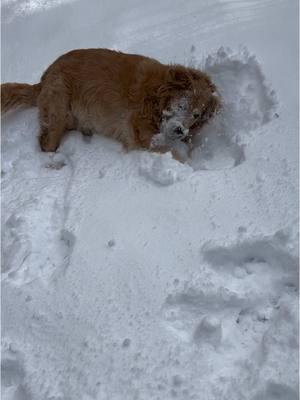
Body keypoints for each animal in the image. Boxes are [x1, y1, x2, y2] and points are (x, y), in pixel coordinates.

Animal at [0, 47, 220, 159]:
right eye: (182, 104)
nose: (180, 130)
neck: (155, 97)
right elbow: (171, 152)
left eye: (197, 115)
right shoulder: (141, 135)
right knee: (45, 144)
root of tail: (43, 78)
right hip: (58, 108)